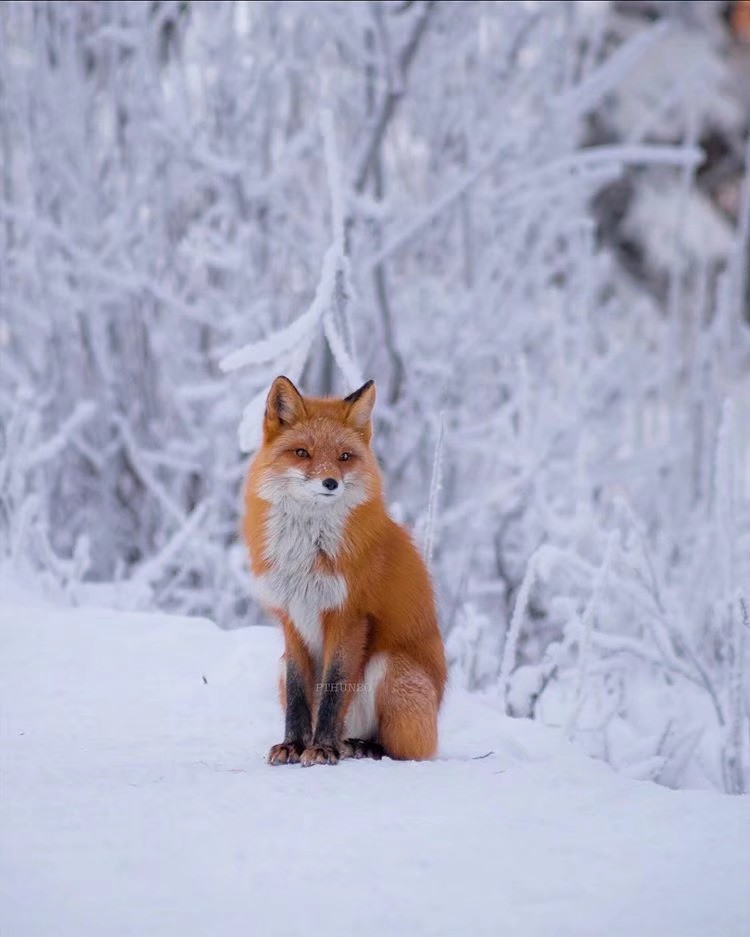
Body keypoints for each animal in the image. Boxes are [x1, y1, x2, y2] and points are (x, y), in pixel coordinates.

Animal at [245, 376, 446, 764]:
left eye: (344, 457)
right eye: (302, 453)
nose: (330, 483)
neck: (308, 551)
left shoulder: (349, 615)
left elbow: (334, 692)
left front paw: (320, 749)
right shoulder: (292, 618)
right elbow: (299, 695)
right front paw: (294, 745)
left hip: (390, 667)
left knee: (404, 750)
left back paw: (358, 746)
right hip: (280, 665)